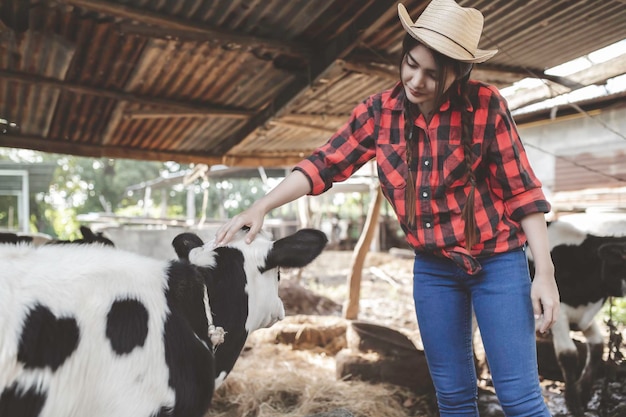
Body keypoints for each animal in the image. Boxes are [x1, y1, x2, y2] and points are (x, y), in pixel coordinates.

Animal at [528, 221, 624, 416]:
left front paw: (584, 393)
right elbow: (569, 355)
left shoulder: (583, 317)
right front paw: (573, 403)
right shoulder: (559, 312)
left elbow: (598, 346)